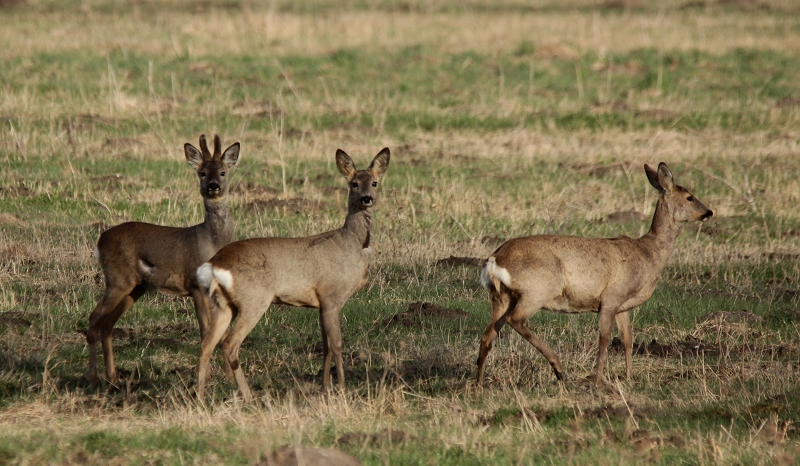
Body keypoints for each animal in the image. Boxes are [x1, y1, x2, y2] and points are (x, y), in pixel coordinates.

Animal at [86, 134, 241, 386]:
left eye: (223, 172)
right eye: (202, 172)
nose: (213, 186)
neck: (210, 241)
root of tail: (100, 241)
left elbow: (222, 333)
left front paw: (227, 378)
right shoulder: (195, 285)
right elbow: (205, 332)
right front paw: (206, 377)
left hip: (135, 287)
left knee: (107, 324)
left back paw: (113, 377)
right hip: (118, 279)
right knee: (94, 319)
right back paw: (93, 377)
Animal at [197, 147, 390, 400]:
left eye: (375, 182)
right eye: (354, 183)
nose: (367, 198)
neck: (352, 246)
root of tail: (214, 264)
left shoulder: (320, 302)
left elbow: (325, 345)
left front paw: (325, 387)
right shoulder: (331, 295)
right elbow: (337, 343)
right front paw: (342, 388)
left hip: (221, 304)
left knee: (206, 344)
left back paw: (199, 397)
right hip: (254, 299)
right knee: (229, 343)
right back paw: (249, 396)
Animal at [476, 162, 712, 388]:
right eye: (689, 197)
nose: (708, 212)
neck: (648, 254)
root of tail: (495, 259)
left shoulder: (622, 305)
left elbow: (627, 339)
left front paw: (628, 378)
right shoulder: (611, 296)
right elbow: (604, 339)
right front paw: (598, 381)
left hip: (501, 296)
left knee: (488, 335)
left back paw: (478, 383)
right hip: (538, 289)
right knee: (515, 320)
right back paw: (558, 368)